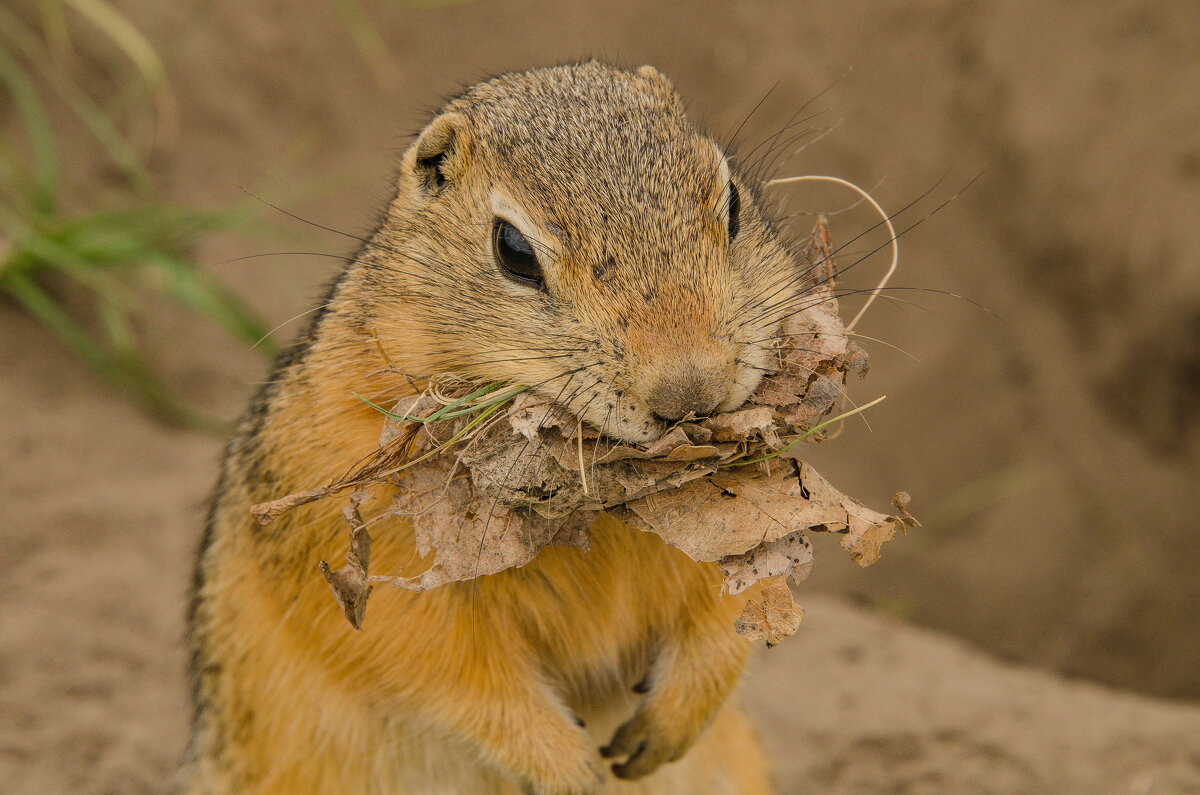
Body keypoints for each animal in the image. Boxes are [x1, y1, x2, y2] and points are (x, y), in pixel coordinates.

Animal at [182, 63, 796, 795]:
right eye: (514, 250)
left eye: (732, 203)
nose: (693, 392)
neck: (601, 503)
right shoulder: (364, 543)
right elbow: (448, 666)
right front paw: (575, 768)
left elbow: (737, 601)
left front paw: (662, 727)